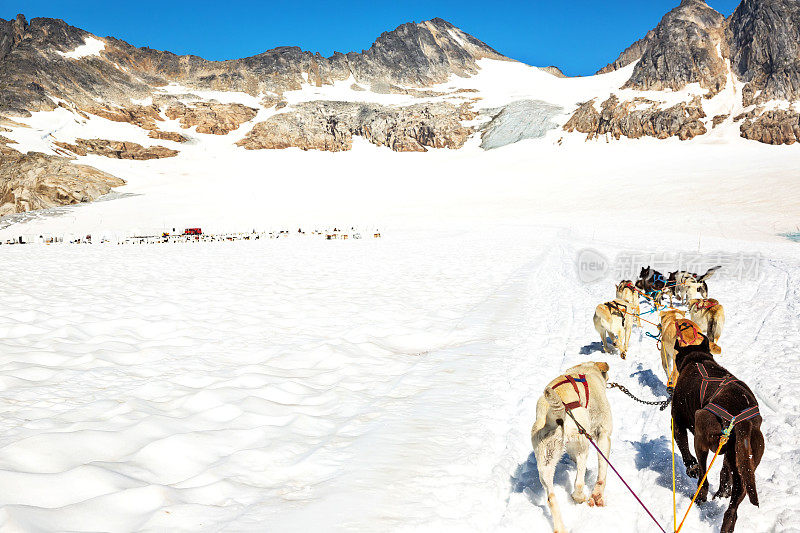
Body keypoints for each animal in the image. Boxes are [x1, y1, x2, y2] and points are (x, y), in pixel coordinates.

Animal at [532, 362, 612, 532]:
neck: (586, 370)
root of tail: (553, 416)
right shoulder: (604, 434)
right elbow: (602, 473)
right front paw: (598, 495)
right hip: (583, 442)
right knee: (579, 481)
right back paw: (579, 496)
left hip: (545, 464)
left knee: (551, 497)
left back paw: (560, 527)